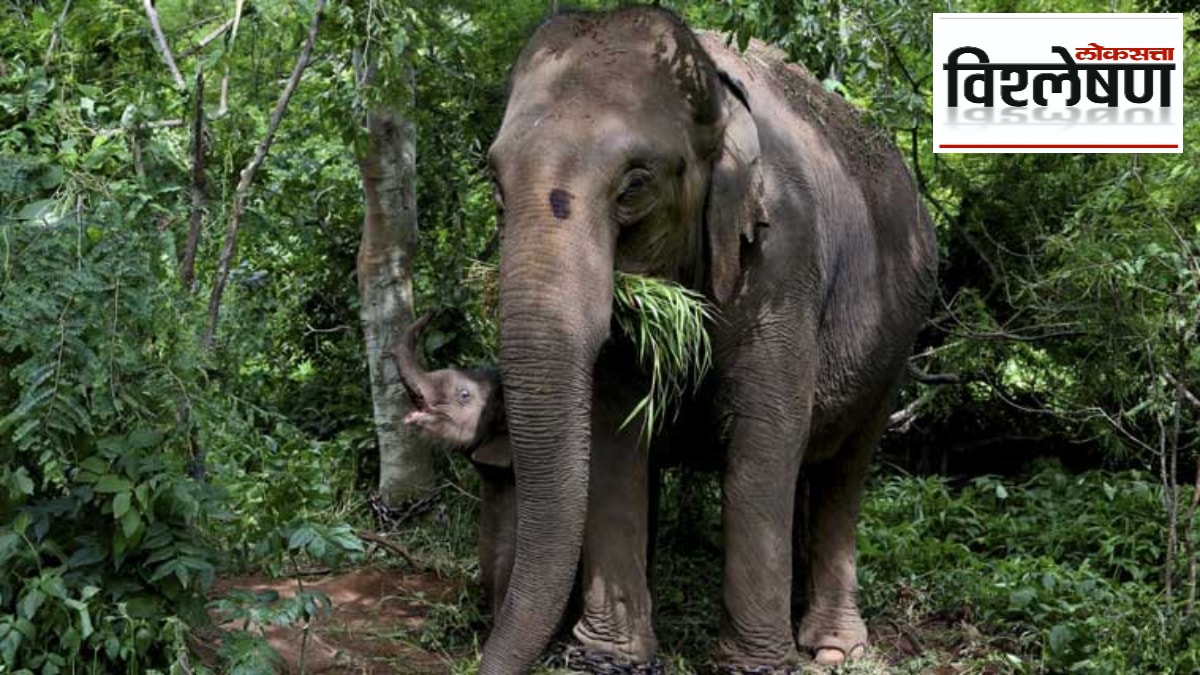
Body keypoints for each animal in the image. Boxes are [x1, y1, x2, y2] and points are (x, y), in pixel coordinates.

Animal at [481, 7, 937, 673]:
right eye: (495, 182)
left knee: (845, 471)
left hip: (899, 342)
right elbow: (615, 431)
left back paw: (832, 648)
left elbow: (765, 434)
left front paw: (755, 665)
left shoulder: (785, 255)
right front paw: (611, 659)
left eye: (634, 186)